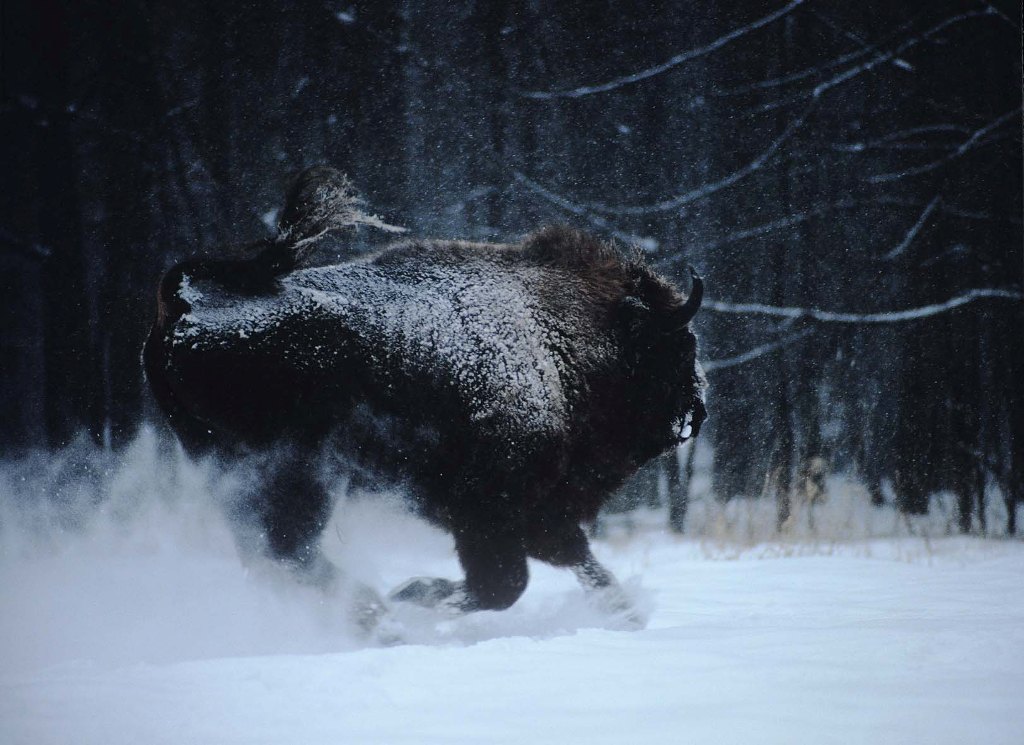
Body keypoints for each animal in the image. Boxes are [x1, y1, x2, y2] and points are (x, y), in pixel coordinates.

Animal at [144, 167, 704, 630]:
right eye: (677, 347)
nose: (697, 411)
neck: (557, 331)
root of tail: (186, 303)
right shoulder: (489, 507)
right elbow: (503, 585)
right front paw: (412, 595)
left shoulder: (536, 513)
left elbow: (570, 558)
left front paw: (627, 614)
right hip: (300, 476)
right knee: (287, 551)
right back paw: (377, 617)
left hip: (232, 474)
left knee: (272, 556)